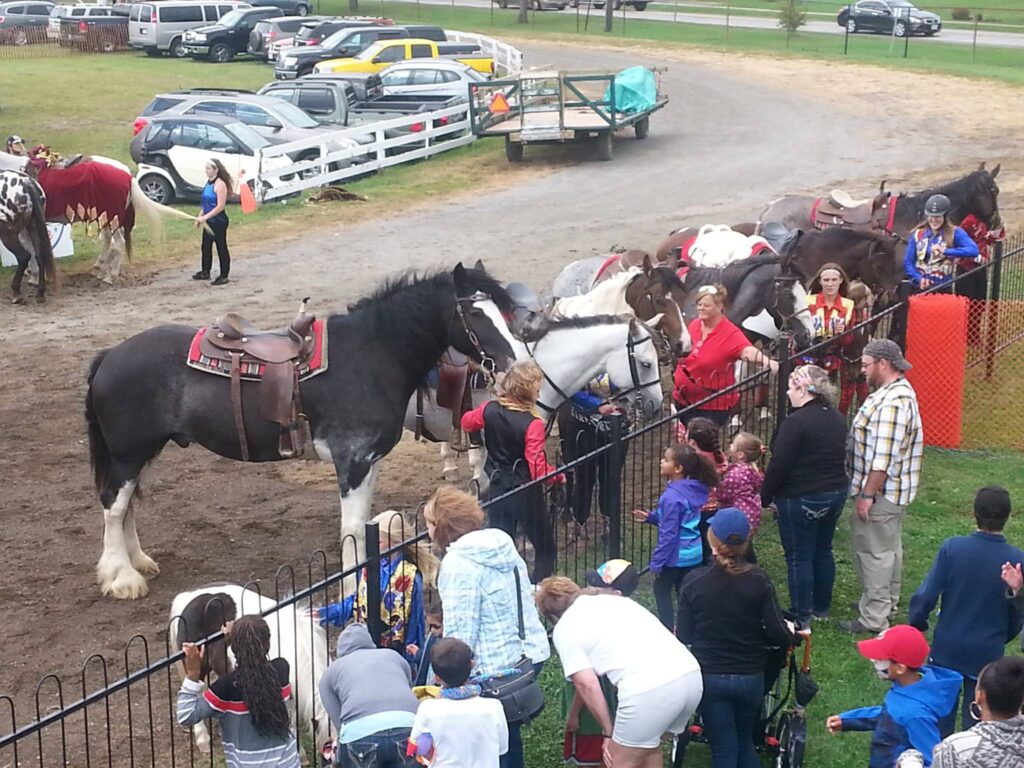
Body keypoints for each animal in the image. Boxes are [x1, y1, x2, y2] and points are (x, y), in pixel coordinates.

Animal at [0, 169, 56, 303]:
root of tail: (26, 182)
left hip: (8, 234)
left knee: (23, 257)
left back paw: (16, 293)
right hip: (33, 227)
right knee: (39, 256)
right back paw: (40, 293)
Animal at [86, 266, 520, 602]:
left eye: (502, 310)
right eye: (476, 313)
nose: (515, 361)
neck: (371, 354)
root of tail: (110, 355)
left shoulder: (367, 463)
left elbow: (361, 525)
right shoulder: (352, 461)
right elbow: (351, 530)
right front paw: (352, 592)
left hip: (143, 453)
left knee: (127, 507)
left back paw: (139, 562)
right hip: (127, 454)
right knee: (113, 507)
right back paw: (122, 577)